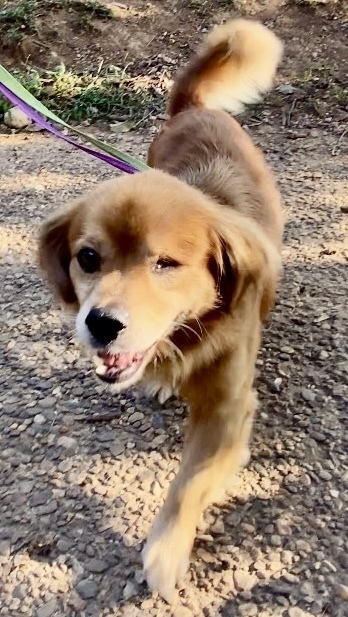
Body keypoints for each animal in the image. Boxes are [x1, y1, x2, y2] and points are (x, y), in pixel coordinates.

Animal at [40, 18, 286, 600]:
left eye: (166, 264)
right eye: (88, 257)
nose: (102, 324)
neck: (191, 331)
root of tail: (195, 107)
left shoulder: (228, 410)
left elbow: (191, 480)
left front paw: (167, 549)